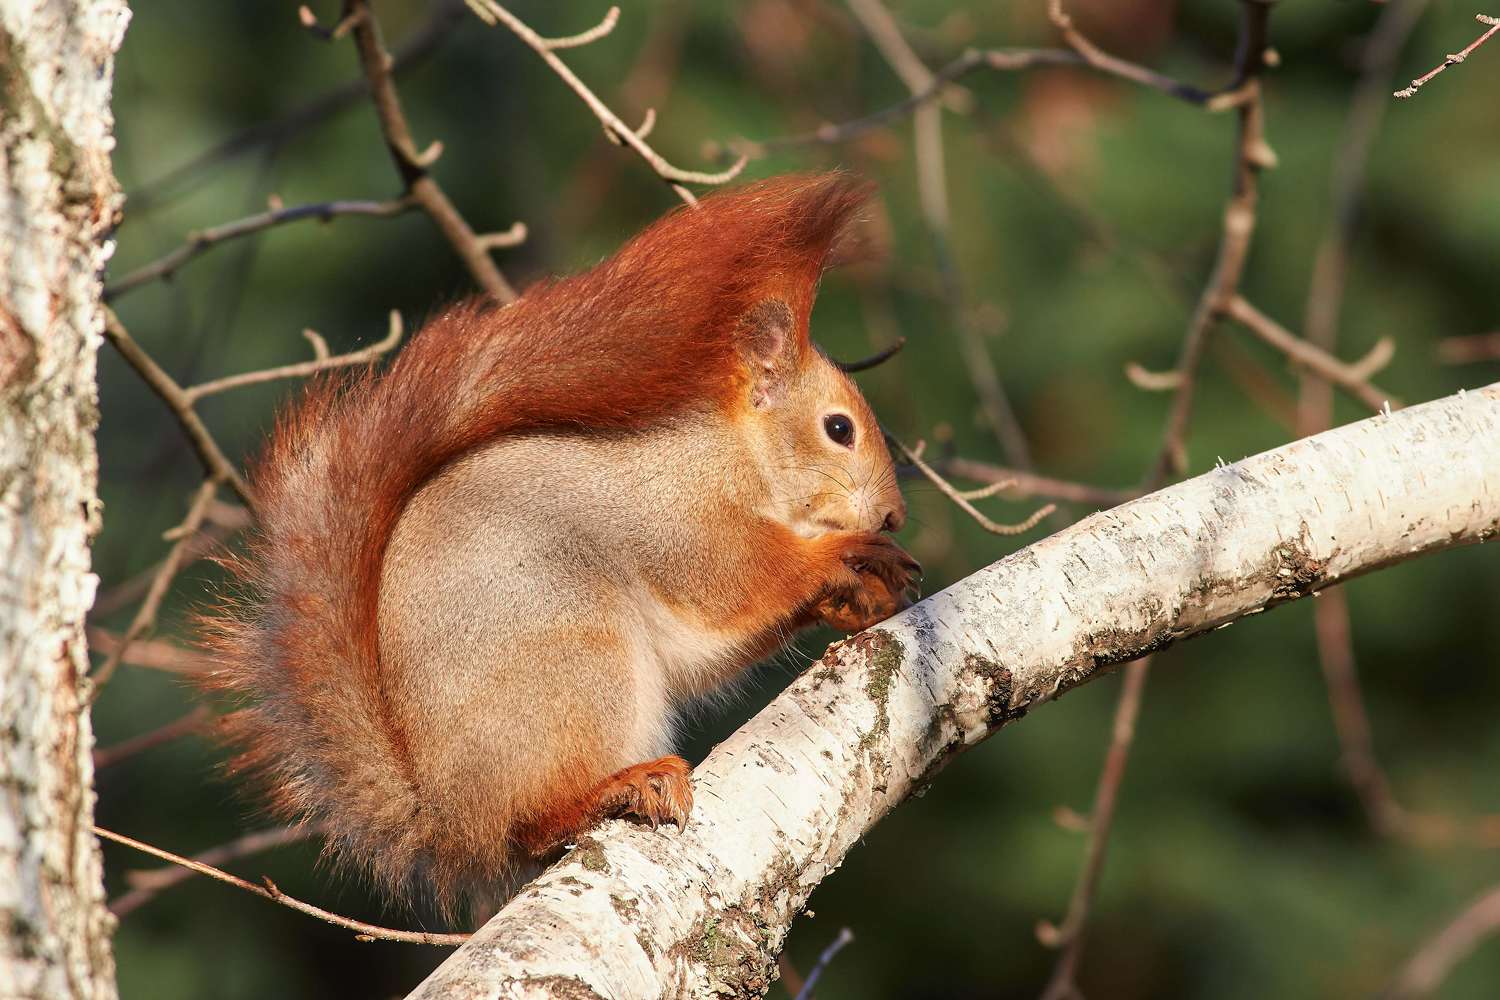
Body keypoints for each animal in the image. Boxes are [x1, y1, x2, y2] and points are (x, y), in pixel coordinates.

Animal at [198, 173, 919, 920]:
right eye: (839, 429)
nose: (893, 515)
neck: (739, 456)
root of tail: (447, 815)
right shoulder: (679, 518)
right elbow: (735, 578)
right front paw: (852, 555)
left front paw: (860, 596)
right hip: (577, 665)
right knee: (534, 820)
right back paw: (614, 789)